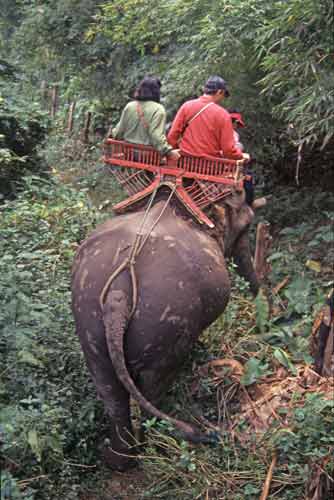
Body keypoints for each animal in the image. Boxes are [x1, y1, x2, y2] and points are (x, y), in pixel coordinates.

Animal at [72, 187, 262, 468]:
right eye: (248, 224)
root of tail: (119, 292)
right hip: (163, 327)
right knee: (153, 387)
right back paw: (156, 449)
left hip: (89, 322)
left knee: (109, 391)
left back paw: (120, 460)